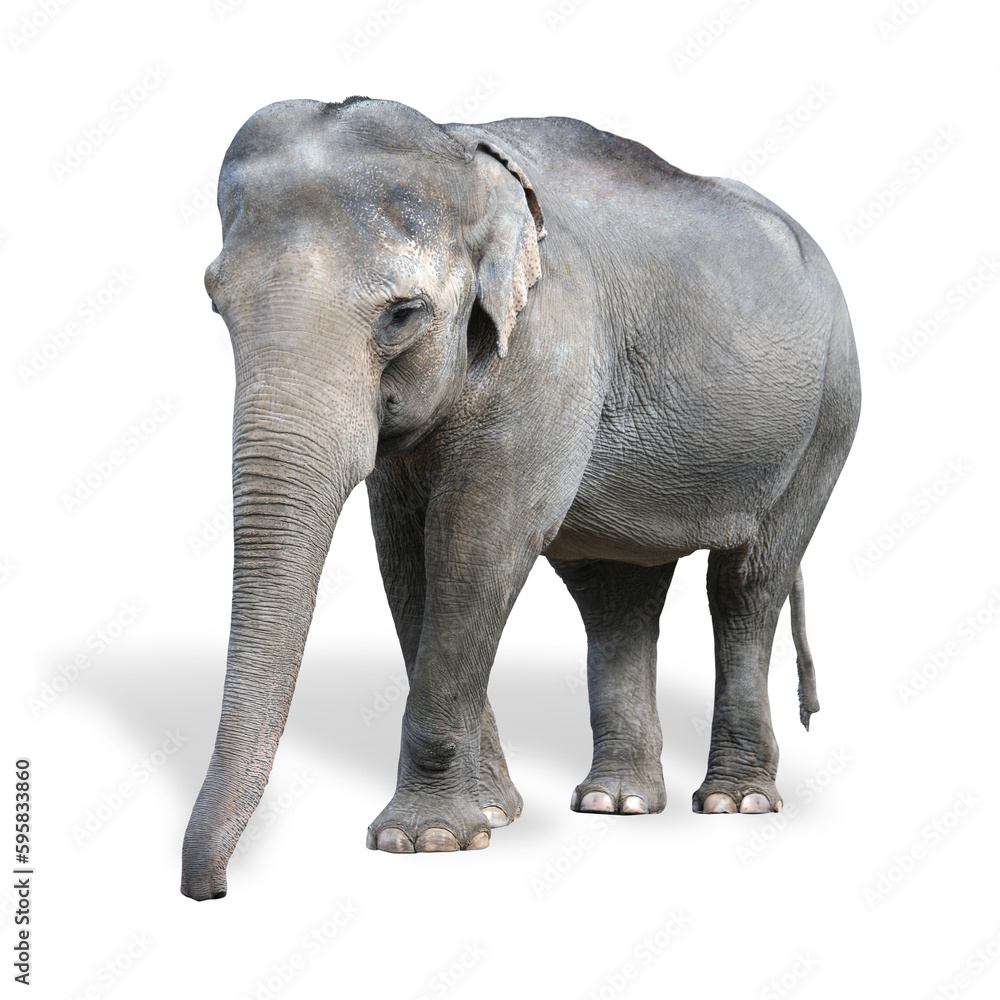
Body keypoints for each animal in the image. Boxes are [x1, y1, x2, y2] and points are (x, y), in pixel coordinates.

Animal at [181, 96, 861, 900]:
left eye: (403, 314)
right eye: (215, 301)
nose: (211, 891)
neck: (462, 151)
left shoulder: (550, 351)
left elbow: (479, 541)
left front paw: (426, 840)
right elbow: (405, 556)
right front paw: (491, 816)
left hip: (827, 417)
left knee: (747, 586)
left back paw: (734, 802)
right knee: (618, 598)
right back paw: (616, 803)